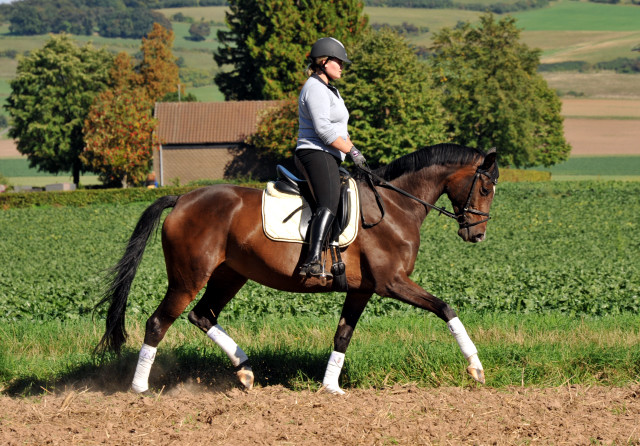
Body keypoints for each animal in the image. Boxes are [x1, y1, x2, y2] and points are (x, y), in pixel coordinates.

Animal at [97, 143, 500, 394]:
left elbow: (342, 336)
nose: (477, 234)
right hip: (188, 277)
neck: (395, 205)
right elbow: (446, 308)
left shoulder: (362, 289)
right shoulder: (392, 282)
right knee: (158, 322)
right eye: (484, 188)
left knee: (202, 315)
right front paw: (476, 367)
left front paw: (331, 387)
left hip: (230, 274)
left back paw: (245, 369)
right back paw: (140, 389)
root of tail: (182, 199)